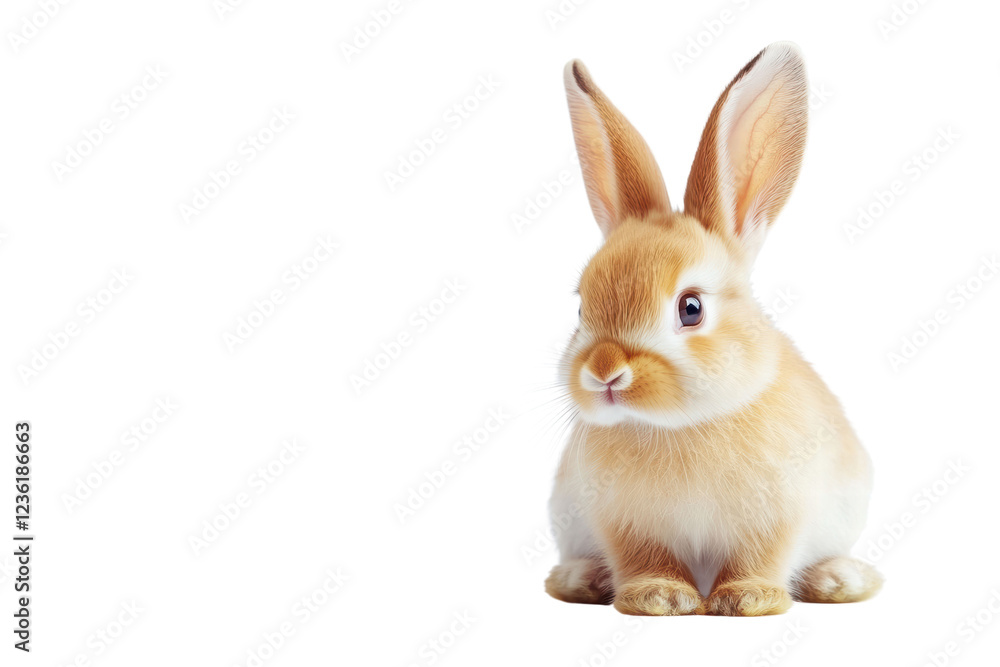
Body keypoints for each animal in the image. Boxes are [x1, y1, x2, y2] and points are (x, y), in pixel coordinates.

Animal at [544, 42, 882, 616]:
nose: (605, 371)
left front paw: (748, 599)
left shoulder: (778, 515)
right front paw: (659, 597)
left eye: (691, 308)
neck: (680, 426)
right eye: (583, 307)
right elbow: (643, 558)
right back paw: (579, 580)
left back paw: (840, 580)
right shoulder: (625, 524)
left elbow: (762, 556)